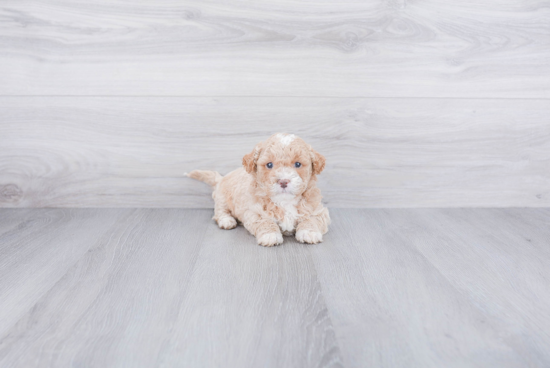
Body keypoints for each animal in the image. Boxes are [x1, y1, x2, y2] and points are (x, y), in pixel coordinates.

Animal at [185, 133, 332, 247]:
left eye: (297, 164)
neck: (285, 202)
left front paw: (309, 232)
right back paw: (227, 220)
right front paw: (270, 235)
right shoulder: (253, 211)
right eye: (269, 165)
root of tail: (221, 178)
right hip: (222, 197)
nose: (283, 181)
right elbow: (264, 221)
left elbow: (311, 219)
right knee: (220, 211)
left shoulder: (318, 210)